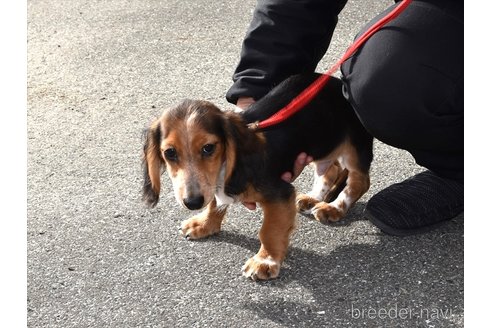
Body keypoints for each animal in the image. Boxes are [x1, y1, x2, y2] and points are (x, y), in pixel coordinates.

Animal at [142, 73, 372, 280]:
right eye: (170, 153)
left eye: (208, 148)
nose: (192, 202)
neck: (225, 169)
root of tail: (341, 84)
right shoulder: (212, 184)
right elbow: (214, 203)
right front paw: (204, 224)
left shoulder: (279, 193)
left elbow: (269, 230)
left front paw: (265, 261)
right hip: (321, 145)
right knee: (330, 169)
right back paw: (313, 198)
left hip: (354, 148)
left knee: (360, 182)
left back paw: (334, 208)